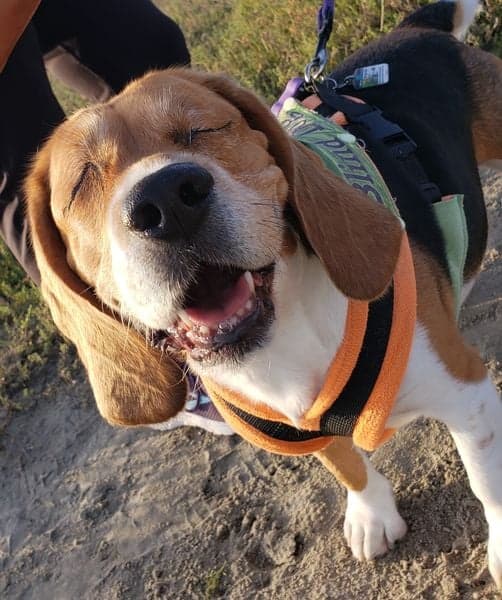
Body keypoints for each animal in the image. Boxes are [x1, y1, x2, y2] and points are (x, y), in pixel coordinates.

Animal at [24, 0, 502, 588]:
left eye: (202, 128)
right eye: (82, 183)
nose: (166, 200)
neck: (279, 342)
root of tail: (416, 28)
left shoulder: (468, 393)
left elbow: (487, 484)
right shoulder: (308, 430)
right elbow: (348, 467)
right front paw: (372, 514)